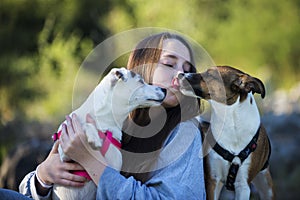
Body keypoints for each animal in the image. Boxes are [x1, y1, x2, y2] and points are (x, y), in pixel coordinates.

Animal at [178, 66, 274, 199]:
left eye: (210, 75)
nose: (179, 75)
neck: (230, 123)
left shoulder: (243, 186)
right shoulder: (212, 181)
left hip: (267, 187)